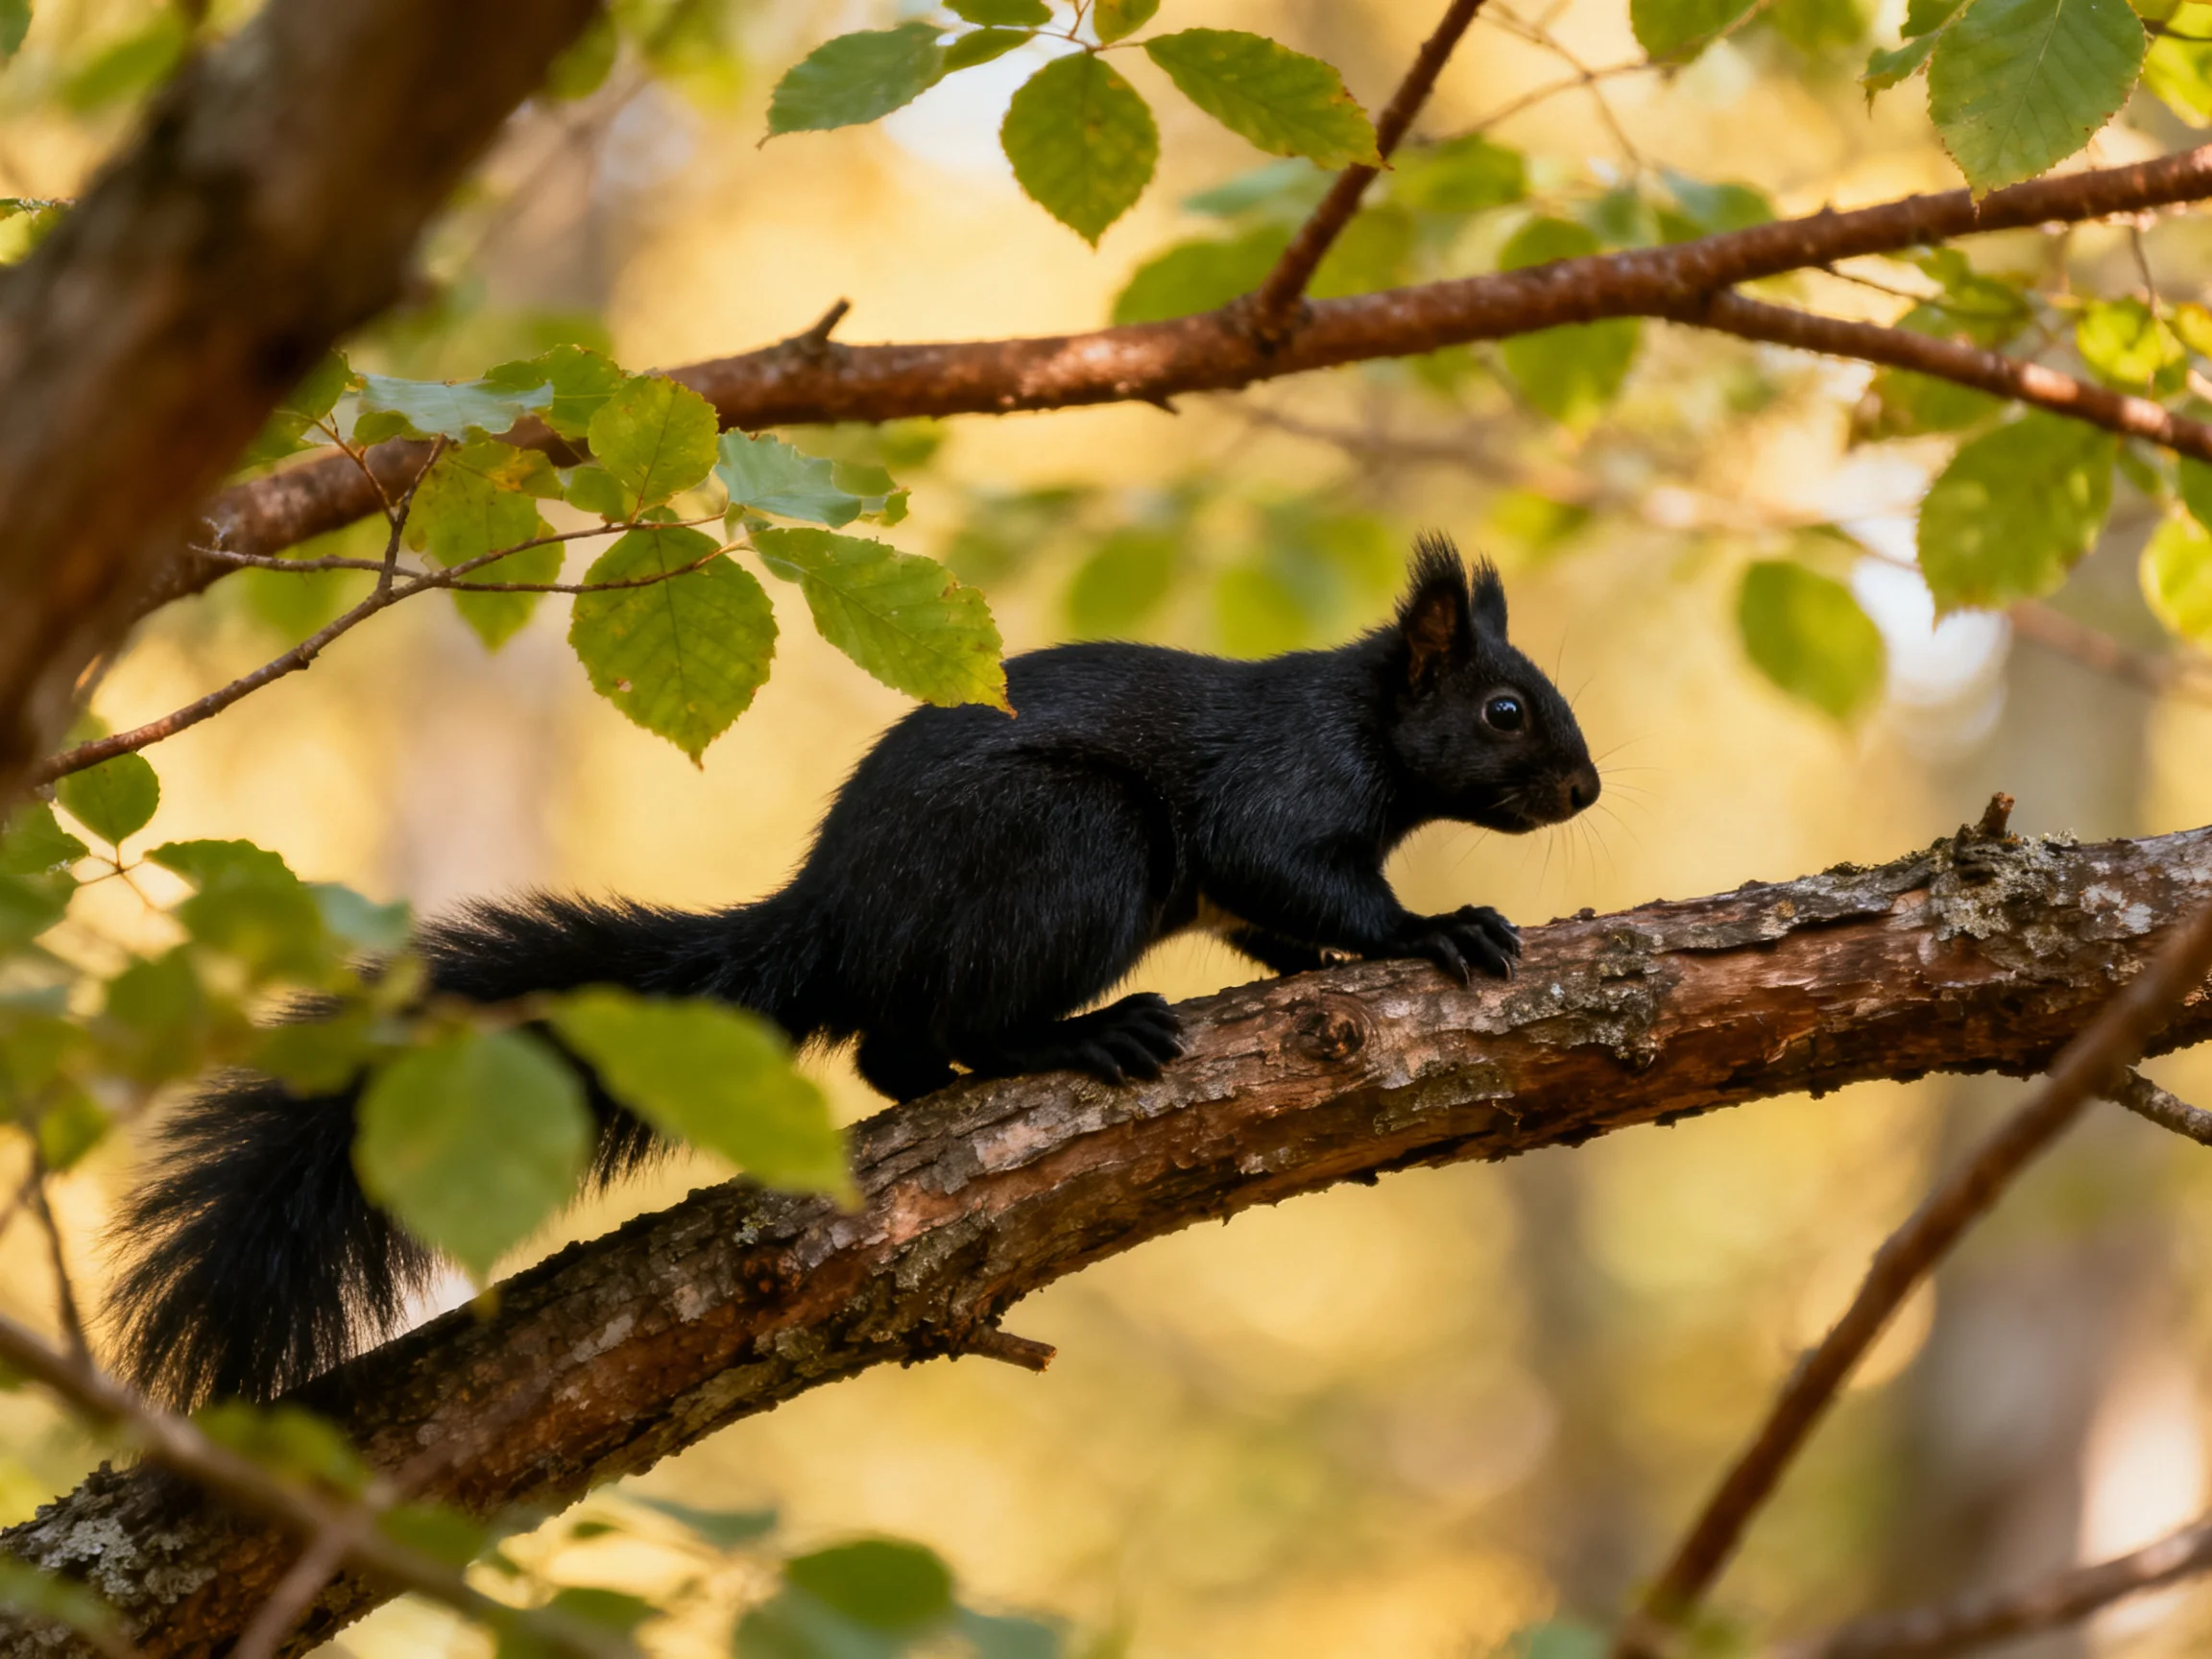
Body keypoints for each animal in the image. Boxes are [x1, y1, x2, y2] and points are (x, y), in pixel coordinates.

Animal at [104, 533, 1598, 1408]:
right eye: (1504, 709)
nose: (1587, 790)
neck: (1362, 721)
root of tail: (830, 916)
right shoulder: (1272, 802)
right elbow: (1315, 884)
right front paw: (1438, 928)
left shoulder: (1241, 886)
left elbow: (1279, 925)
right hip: (1072, 847)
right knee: (919, 1032)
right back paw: (1078, 1039)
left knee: (893, 1049)